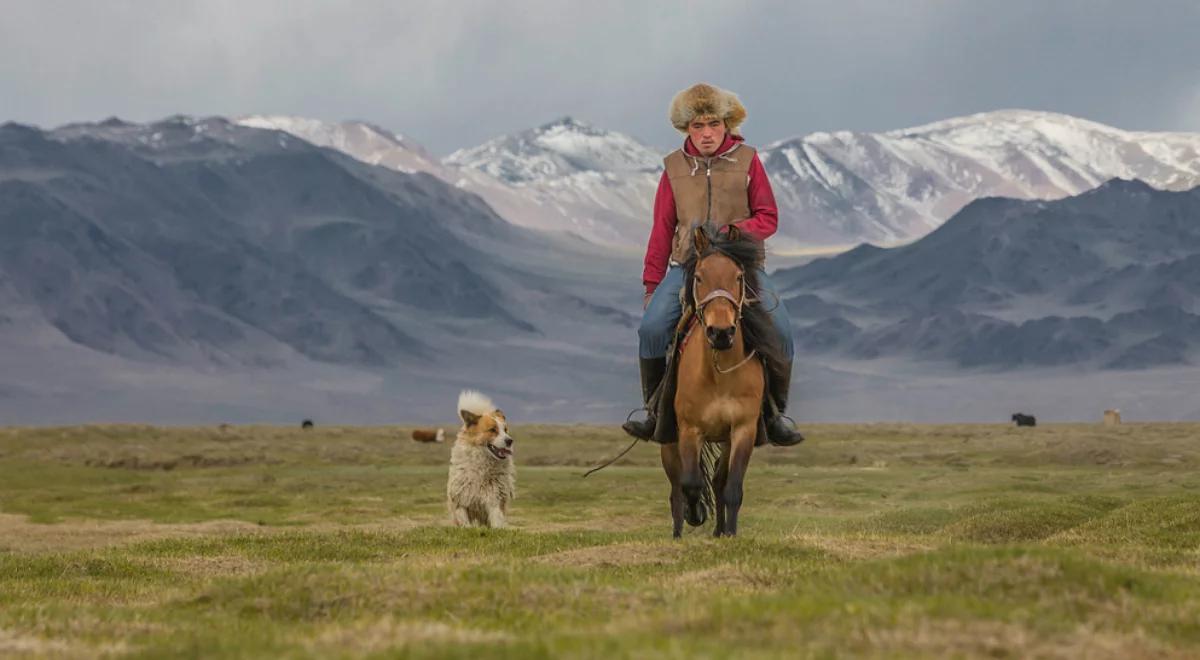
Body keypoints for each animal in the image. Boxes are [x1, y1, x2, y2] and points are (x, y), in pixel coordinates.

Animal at [444, 393, 513, 528]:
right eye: (492, 430)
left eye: (505, 430)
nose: (510, 441)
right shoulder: (461, 501)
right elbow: (465, 523)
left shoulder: (494, 499)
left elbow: (497, 521)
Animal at [657, 226, 777, 537]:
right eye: (699, 277)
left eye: (738, 277)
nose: (721, 332)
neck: (719, 374)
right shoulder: (690, 430)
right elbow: (690, 484)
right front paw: (695, 514)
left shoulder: (743, 429)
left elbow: (731, 487)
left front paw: (730, 533)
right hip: (669, 442)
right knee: (676, 489)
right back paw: (679, 532)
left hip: (724, 439)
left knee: (718, 481)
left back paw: (719, 530)